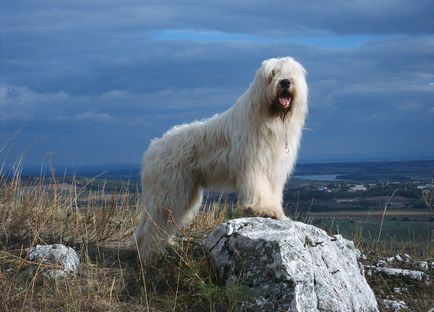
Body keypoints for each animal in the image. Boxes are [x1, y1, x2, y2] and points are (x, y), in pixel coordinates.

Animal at [136, 56, 308, 260]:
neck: (270, 118)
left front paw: (276, 212)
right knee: (153, 225)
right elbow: (258, 188)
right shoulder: (254, 165)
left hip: (183, 192)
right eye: (273, 73)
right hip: (169, 191)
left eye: (290, 72)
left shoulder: (274, 169)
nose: (285, 82)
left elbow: (272, 192)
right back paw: (149, 255)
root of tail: (151, 149)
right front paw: (263, 209)